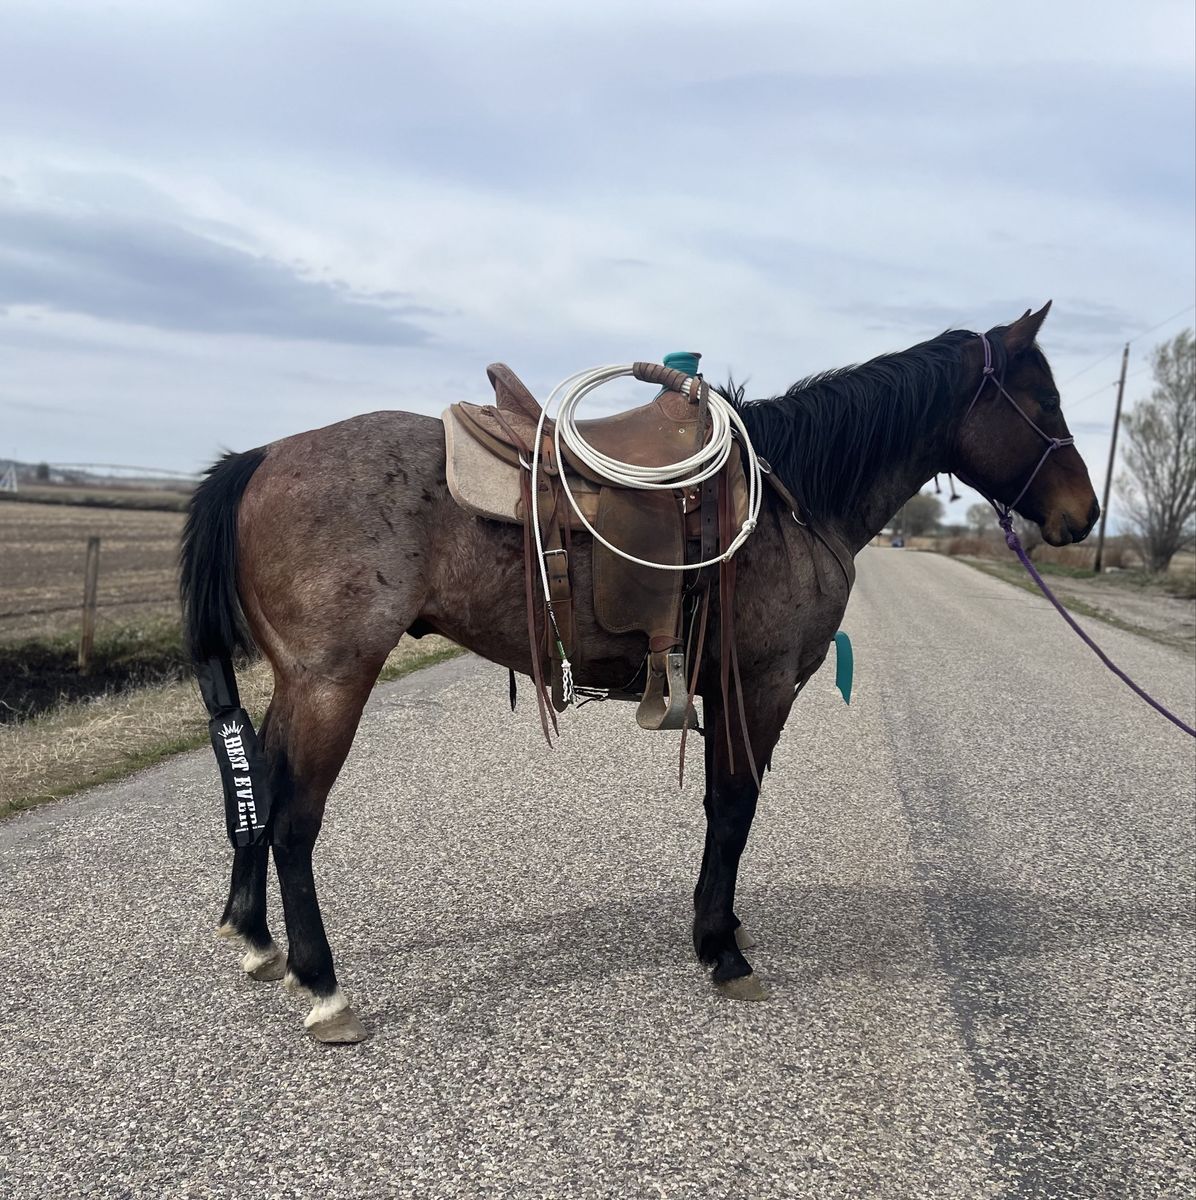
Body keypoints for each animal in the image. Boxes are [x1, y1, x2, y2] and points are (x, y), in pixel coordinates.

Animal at [180, 302, 1099, 1042]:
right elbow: (733, 810)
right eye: (1045, 402)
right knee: (293, 819)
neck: (795, 498)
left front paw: (722, 931)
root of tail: (262, 457)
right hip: (333, 681)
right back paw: (324, 988)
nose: (1082, 515)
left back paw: (257, 939)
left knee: (258, 788)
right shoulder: (760, 686)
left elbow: (727, 809)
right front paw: (721, 949)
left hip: (297, 683)